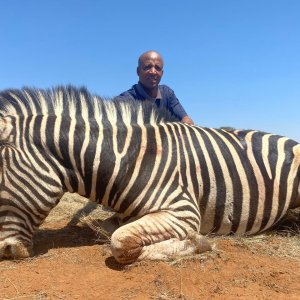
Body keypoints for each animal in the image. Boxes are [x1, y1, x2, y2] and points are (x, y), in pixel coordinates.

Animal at [0, 86, 298, 262]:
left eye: (0, 182)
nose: (5, 252)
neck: (130, 160)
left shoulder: (183, 211)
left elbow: (120, 243)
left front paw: (199, 243)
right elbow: (104, 229)